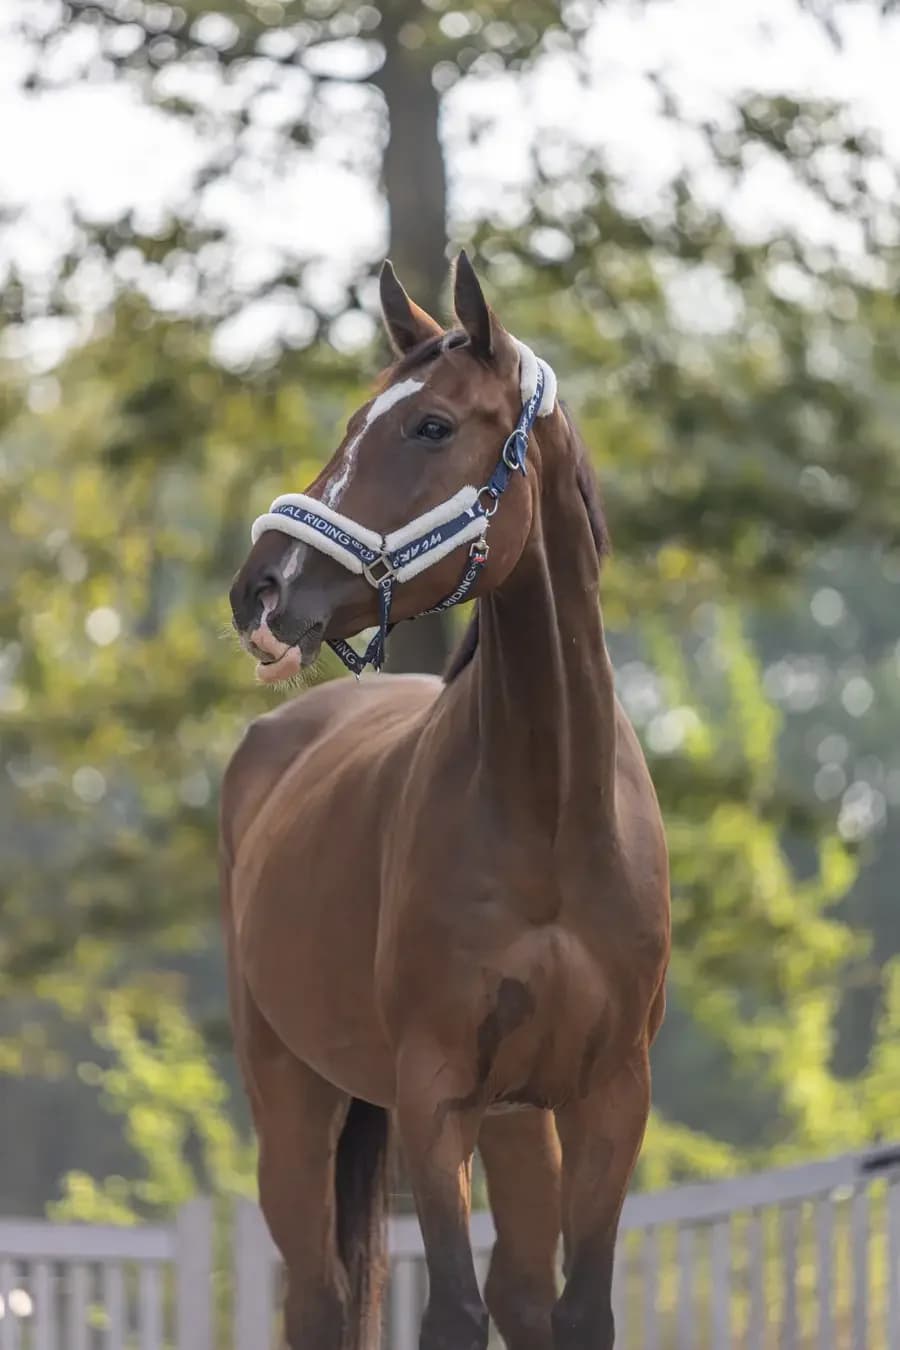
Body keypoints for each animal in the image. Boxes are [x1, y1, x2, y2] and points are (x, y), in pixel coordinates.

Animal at [221, 253, 670, 1350]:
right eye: (356, 418)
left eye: (430, 426)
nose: (261, 589)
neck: (552, 813)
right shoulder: (434, 1097)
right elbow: (454, 1313)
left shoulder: (608, 1099)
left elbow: (576, 1310)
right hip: (293, 1102)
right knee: (320, 1302)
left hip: (520, 1122)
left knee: (521, 1289)